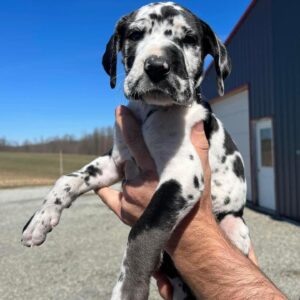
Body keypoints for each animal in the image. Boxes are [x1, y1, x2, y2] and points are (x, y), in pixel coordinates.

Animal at [21, 2, 251, 300]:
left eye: (189, 39)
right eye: (135, 34)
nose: (157, 67)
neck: (150, 113)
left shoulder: (182, 175)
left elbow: (144, 229)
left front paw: (128, 288)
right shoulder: (115, 161)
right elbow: (67, 179)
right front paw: (40, 219)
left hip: (234, 223)